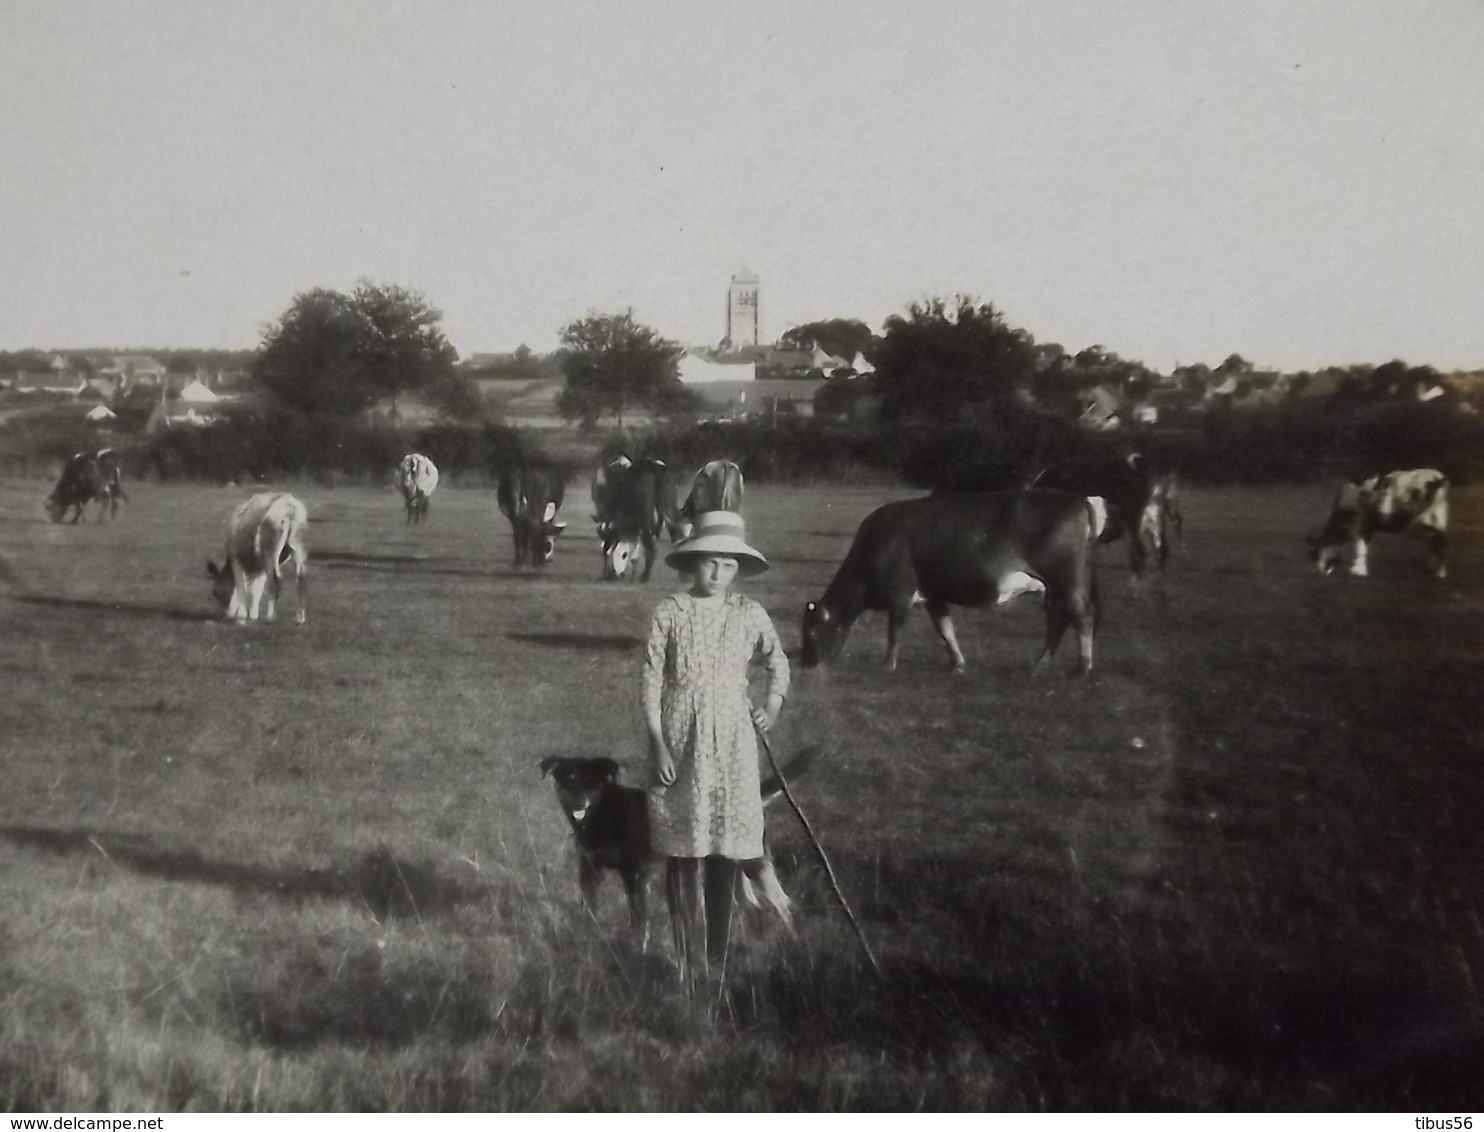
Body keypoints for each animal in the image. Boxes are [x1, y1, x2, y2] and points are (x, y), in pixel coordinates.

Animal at [204, 492, 308, 623]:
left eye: (215, 593)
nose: (224, 615)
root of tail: (288, 504)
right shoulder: (260, 566)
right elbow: (256, 589)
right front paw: (253, 615)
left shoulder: (236, 558)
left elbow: (241, 585)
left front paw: (242, 617)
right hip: (298, 545)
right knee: (301, 578)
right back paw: (301, 618)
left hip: (271, 549)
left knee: (276, 578)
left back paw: (270, 616)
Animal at [540, 756, 819, 949]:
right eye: (568, 781)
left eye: (592, 783)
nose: (578, 802)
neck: (604, 816)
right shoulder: (590, 871)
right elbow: (590, 912)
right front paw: (587, 940)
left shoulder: (633, 874)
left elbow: (639, 921)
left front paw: (638, 951)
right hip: (732, 872)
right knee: (754, 908)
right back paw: (755, 948)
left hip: (755, 865)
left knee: (784, 905)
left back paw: (794, 944)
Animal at [801, 492, 1104, 676]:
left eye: (812, 632)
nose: (806, 664)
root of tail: (1075, 499)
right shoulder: (933, 596)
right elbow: (946, 629)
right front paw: (957, 663)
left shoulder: (900, 594)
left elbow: (894, 631)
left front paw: (888, 664)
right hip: (1055, 586)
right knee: (1059, 619)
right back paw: (1041, 664)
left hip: (1065, 578)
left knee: (1082, 614)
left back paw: (1083, 667)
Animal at [1311, 465, 1448, 578]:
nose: (1321, 570)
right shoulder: (1365, 526)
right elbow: (1362, 548)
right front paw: (1359, 570)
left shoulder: (1362, 524)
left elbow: (1360, 549)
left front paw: (1359, 571)